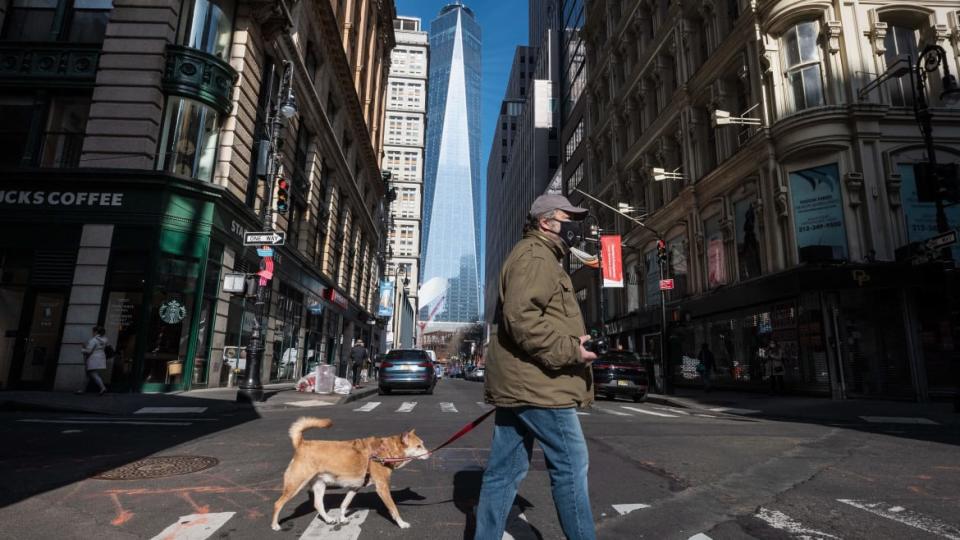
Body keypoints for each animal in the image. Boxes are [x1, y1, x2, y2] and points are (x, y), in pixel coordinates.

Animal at [270, 416, 428, 528]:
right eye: (418, 446)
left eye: (422, 444)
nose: (429, 454)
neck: (386, 450)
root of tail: (302, 444)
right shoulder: (382, 487)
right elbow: (394, 509)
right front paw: (401, 524)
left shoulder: (355, 487)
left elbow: (344, 504)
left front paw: (343, 518)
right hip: (295, 485)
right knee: (278, 504)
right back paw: (275, 525)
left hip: (320, 485)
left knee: (318, 505)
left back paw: (328, 519)